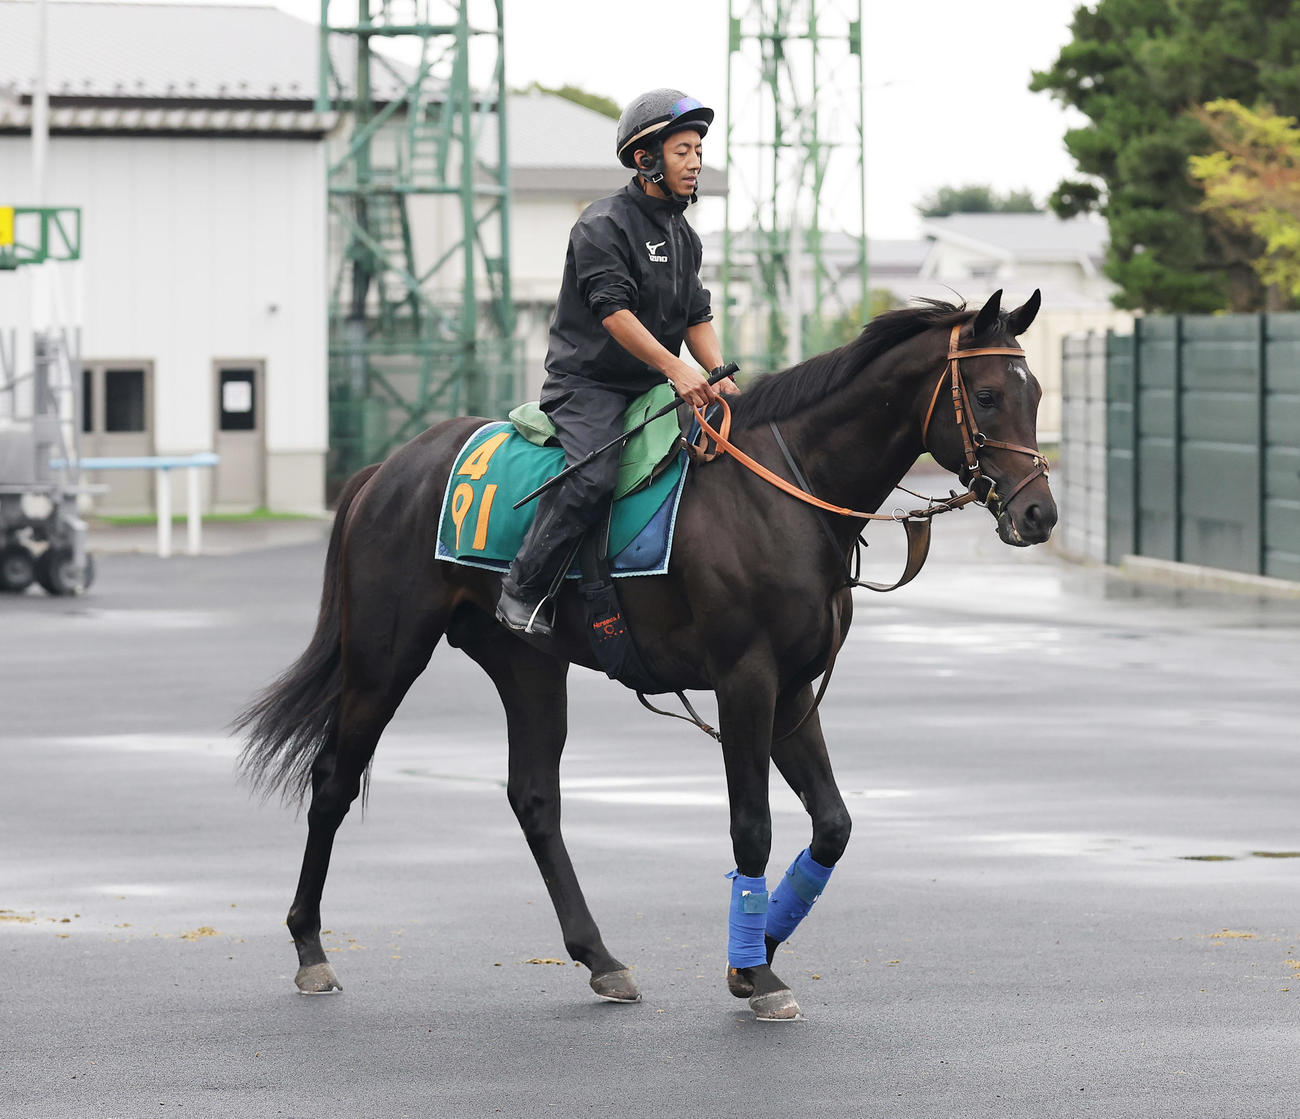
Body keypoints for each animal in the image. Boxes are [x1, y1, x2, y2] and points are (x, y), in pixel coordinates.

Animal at [236, 289, 1056, 1021]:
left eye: (1036, 393)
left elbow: (833, 824)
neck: (784, 490)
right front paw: (757, 972)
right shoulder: (747, 681)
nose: (1039, 512)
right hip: (386, 655)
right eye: (987, 396)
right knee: (335, 780)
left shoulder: (792, 689)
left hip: (528, 664)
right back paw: (310, 947)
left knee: (534, 799)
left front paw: (752, 956)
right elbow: (752, 826)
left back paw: (600, 957)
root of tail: (387, 469)